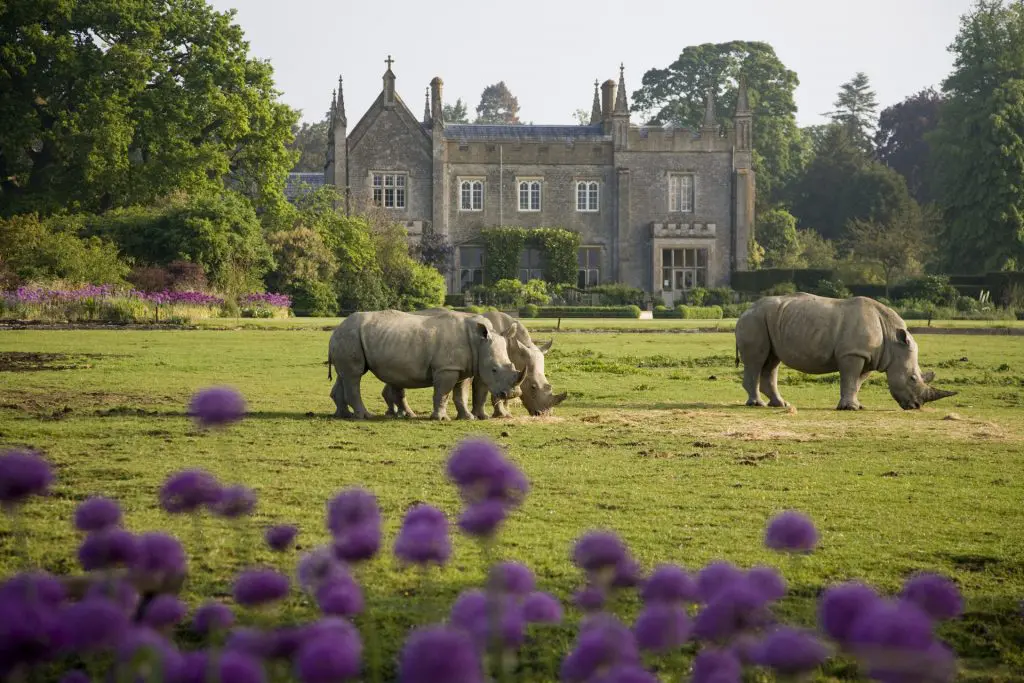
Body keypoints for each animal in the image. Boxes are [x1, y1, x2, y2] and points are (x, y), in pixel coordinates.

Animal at [327, 309, 527, 421]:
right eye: (494, 369)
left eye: (511, 364)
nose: (513, 394)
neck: (478, 341)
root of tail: (336, 329)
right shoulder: (447, 368)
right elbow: (443, 393)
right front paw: (441, 419)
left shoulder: (462, 369)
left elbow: (461, 394)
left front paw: (467, 418)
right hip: (350, 336)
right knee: (354, 375)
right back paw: (364, 416)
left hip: (348, 337)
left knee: (344, 375)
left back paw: (344, 415)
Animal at [380, 308, 566, 419]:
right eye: (533, 387)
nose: (543, 414)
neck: (514, 346)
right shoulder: (487, 367)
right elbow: (486, 391)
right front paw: (495, 415)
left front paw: (503, 414)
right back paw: (400, 414)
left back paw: (393, 412)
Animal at [734, 293, 957, 411]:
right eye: (912, 378)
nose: (916, 406)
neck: (893, 342)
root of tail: (743, 312)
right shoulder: (852, 354)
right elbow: (849, 378)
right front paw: (849, 408)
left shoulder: (869, 356)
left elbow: (857, 382)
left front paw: (857, 406)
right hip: (754, 321)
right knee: (757, 360)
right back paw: (757, 404)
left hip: (769, 321)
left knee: (772, 362)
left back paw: (780, 404)